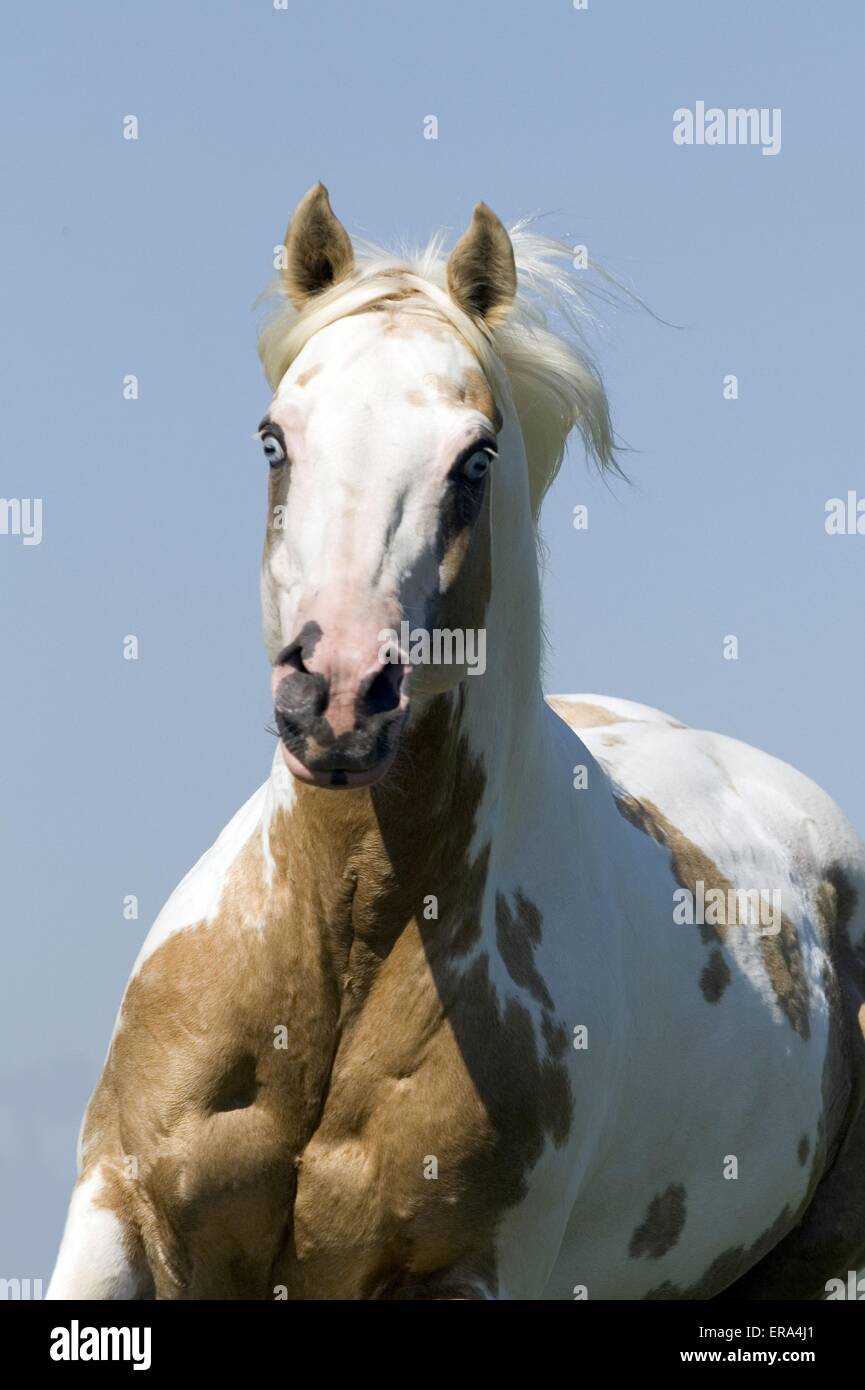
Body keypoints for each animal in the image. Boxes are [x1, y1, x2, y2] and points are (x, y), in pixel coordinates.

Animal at [48, 184, 865, 1300]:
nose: (338, 696)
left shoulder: (466, 1270)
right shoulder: (120, 1208)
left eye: (473, 456)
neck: (341, 949)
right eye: (274, 440)